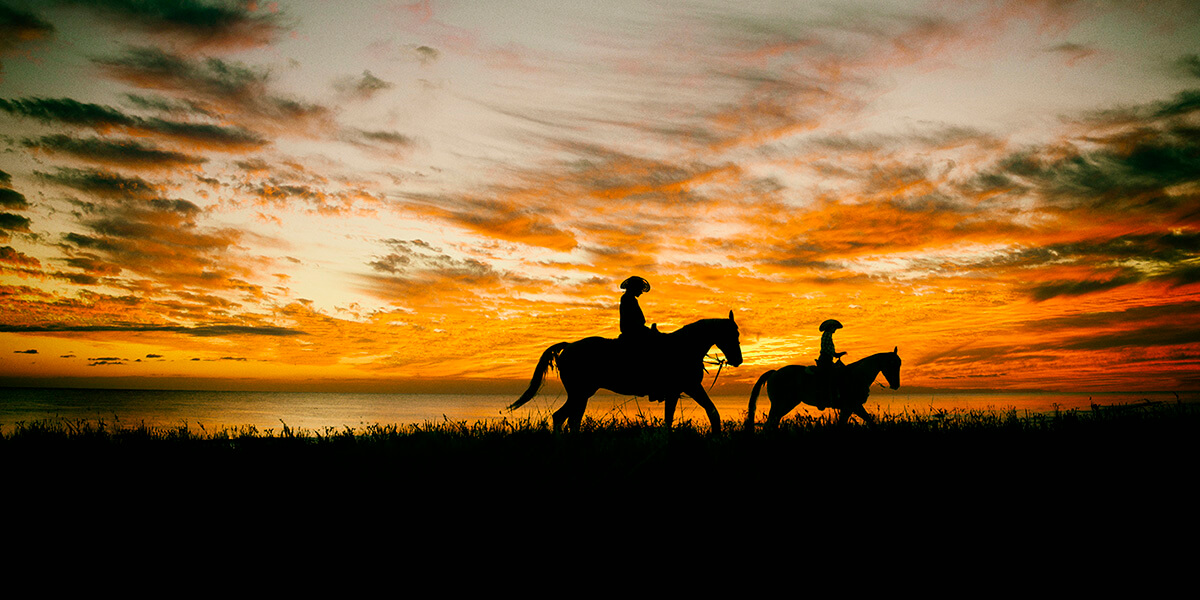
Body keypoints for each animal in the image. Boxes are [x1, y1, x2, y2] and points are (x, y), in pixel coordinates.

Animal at [506, 312, 739, 434]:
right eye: (732, 333)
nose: (738, 360)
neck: (684, 347)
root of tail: (569, 346)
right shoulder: (687, 388)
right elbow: (705, 413)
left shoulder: (681, 391)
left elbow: (683, 416)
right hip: (580, 393)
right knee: (561, 417)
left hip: (580, 395)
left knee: (571, 418)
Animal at [739, 348, 902, 432]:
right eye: (892, 364)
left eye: (899, 364)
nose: (896, 385)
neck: (857, 375)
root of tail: (774, 372)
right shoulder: (854, 405)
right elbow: (869, 421)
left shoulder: (848, 408)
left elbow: (844, 424)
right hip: (781, 404)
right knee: (769, 424)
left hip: (783, 405)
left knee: (773, 423)